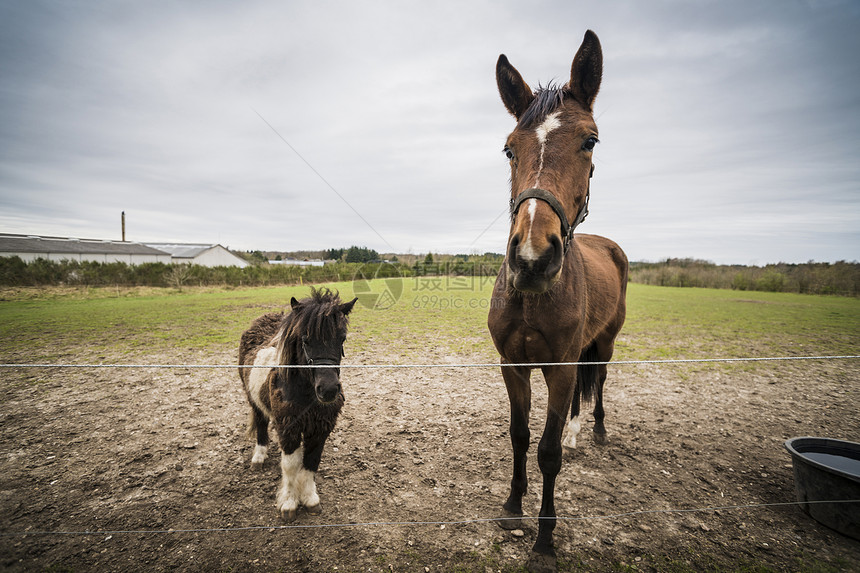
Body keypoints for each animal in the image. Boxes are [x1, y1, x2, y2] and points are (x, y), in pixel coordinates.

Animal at [239, 288, 356, 520]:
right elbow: (291, 466)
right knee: (260, 424)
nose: (329, 390)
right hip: (253, 400)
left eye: (342, 338)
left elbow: (311, 462)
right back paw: (259, 457)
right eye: (305, 339)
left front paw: (310, 499)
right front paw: (289, 503)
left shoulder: (320, 429)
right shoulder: (288, 428)